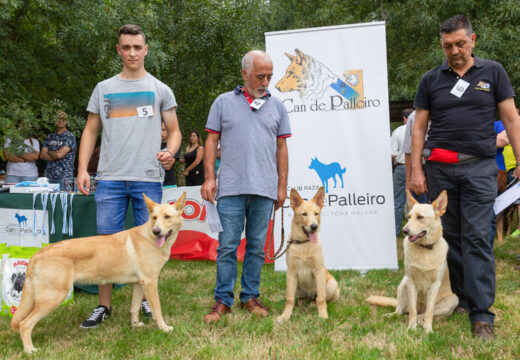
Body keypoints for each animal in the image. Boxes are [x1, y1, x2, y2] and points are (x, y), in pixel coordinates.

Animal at [10, 193, 187, 352]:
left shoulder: (139, 283)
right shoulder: (150, 282)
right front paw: (164, 328)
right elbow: (157, 310)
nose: (157, 231)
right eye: (154, 218)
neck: (149, 237)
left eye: (167, 216)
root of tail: (37, 254)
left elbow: (134, 308)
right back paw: (30, 350)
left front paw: (135, 326)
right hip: (53, 298)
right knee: (24, 325)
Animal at [278, 187, 340, 322]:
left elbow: (321, 298)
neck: (304, 244)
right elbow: (289, 298)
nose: (314, 226)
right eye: (304, 214)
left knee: (323, 298)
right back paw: (303, 301)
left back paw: (313, 303)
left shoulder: (318, 270)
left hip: (331, 284)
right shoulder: (291, 272)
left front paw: (323, 316)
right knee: (301, 297)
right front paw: (285, 315)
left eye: (316, 213)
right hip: (295, 285)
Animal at [366, 190, 460, 334]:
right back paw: (393, 316)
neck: (424, 250)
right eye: (409, 217)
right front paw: (411, 327)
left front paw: (428, 330)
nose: (404, 231)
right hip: (403, 284)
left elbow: (429, 312)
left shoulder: (435, 286)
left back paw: (422, 321)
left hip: (453, 299)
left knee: (427, 314)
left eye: (420, 217)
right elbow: (412, 310)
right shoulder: (411, 282)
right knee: (401, 310)